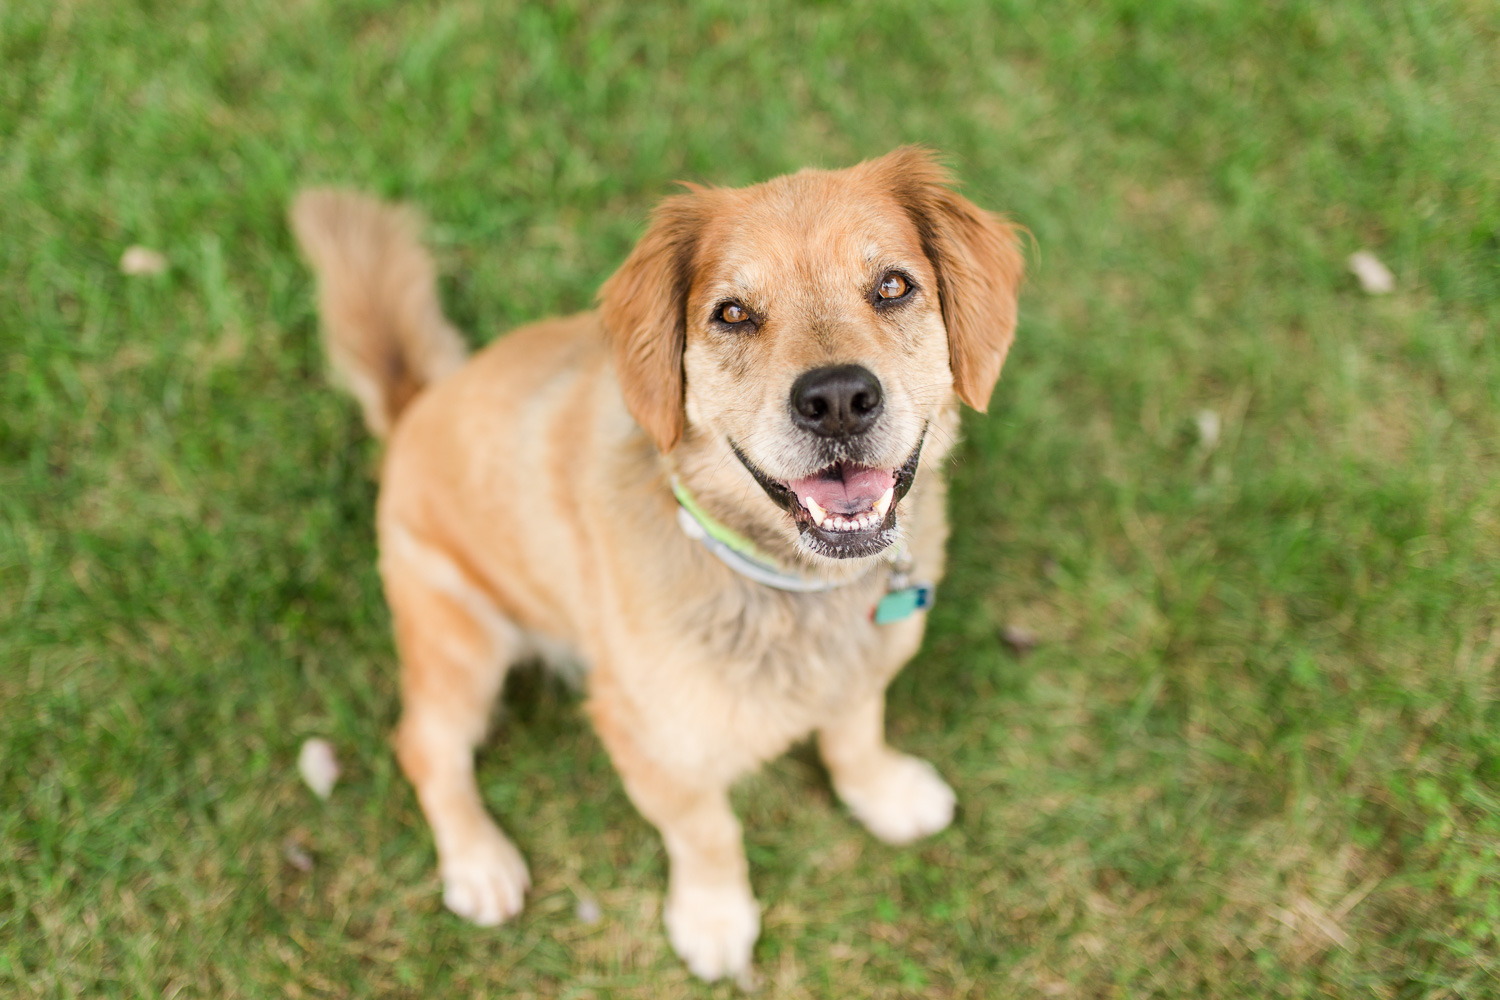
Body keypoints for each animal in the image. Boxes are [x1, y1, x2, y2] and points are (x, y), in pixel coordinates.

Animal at [291, 144, 1020, 983]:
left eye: (894, 286)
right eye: (732, 313)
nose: (837, 399)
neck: (788, 585)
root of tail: (415, 404)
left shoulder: (863, 667)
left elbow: (854, 733)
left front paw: (885, 795)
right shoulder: (651, 745)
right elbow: (709, 834)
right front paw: (714, 919)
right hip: (462, 644)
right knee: (425, 747)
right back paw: (479, 861)